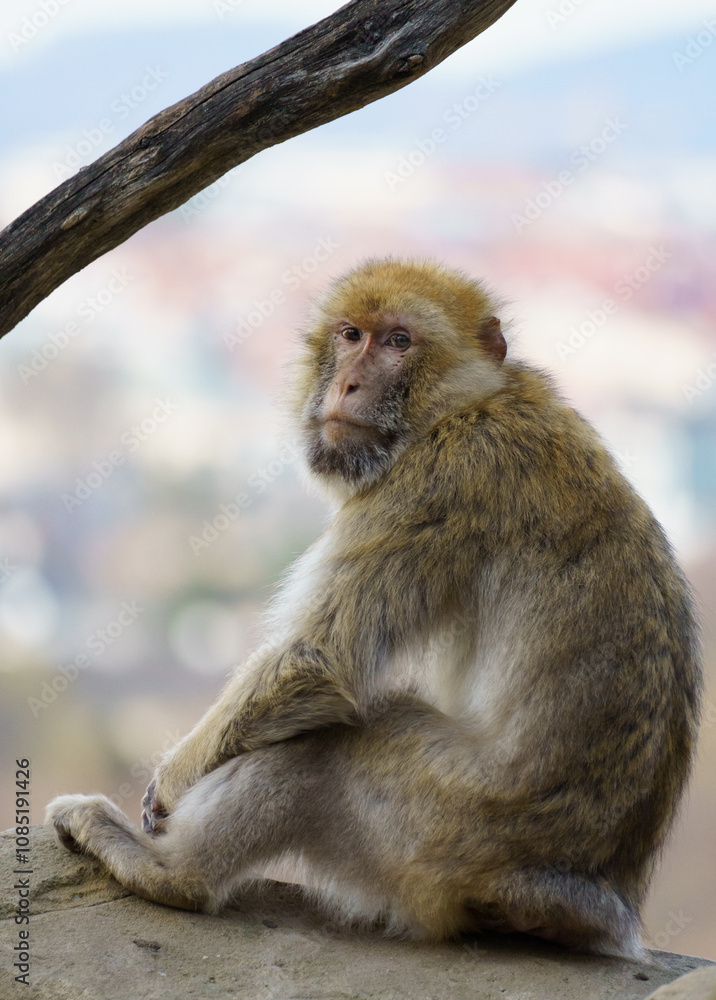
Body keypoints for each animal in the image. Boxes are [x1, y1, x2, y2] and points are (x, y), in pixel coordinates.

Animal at [47, 257, 701, 959]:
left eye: (399, 342)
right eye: (351, 334)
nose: (350, 382)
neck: (468, 403)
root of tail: (586, 893)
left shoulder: (432, 483)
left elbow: (319, 660)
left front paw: (170, 781)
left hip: (443, 830)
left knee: (330, 748)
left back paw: (170, 872)